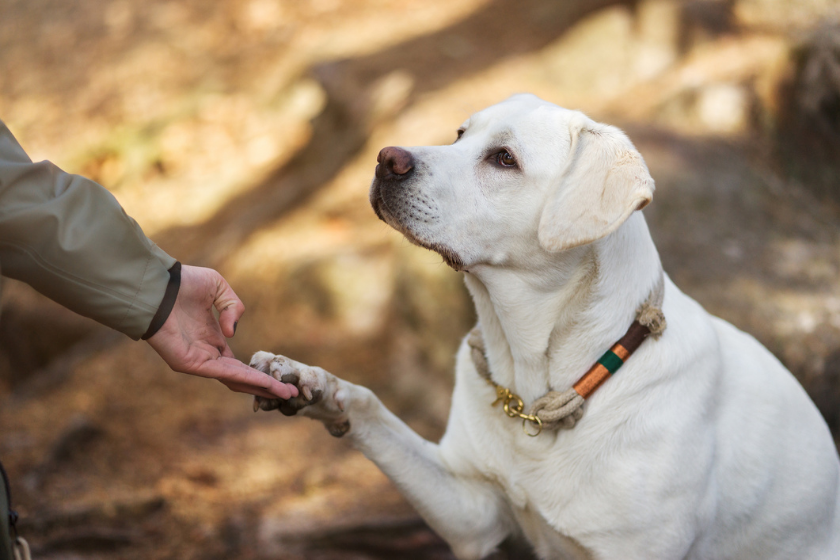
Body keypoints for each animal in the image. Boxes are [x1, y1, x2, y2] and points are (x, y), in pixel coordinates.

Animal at [253, 94, 840, 556]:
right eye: (460, 134)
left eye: (504, 159)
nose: (384, 158)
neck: (539, 383)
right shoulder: (473, 512)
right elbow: (369, 406)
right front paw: (307, 382)